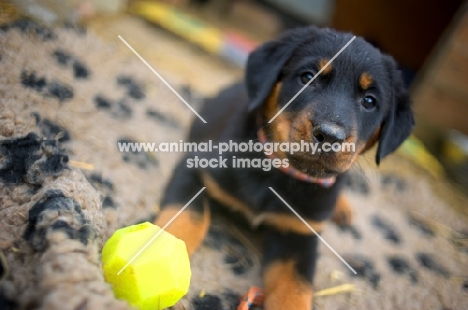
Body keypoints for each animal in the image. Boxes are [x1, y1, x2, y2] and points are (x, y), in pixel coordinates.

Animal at [156, 27, 414, 310]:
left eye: (369, 101)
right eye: (307, 77)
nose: (330, 135)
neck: (279, 173)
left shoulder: (299, 234)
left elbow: (295, 288)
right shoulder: (196, 169)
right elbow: (184, 220)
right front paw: (157, 268)